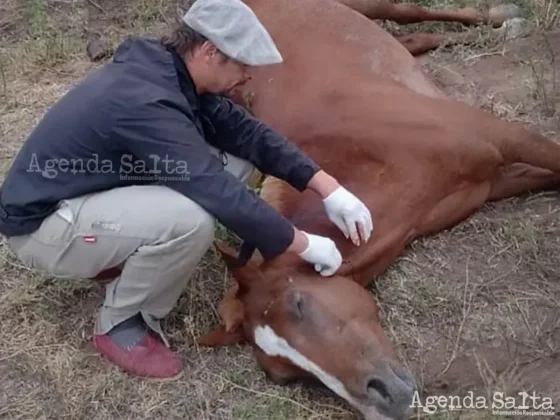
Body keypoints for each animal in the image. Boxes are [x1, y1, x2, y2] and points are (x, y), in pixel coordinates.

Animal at [198, 0, 560, 420]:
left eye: (298, 303)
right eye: (285, 376)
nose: (382, 399)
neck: (375, 154)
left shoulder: (502, 136)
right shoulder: (494, 183)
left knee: (409, 13)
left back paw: (505, 20)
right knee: (417, 36)